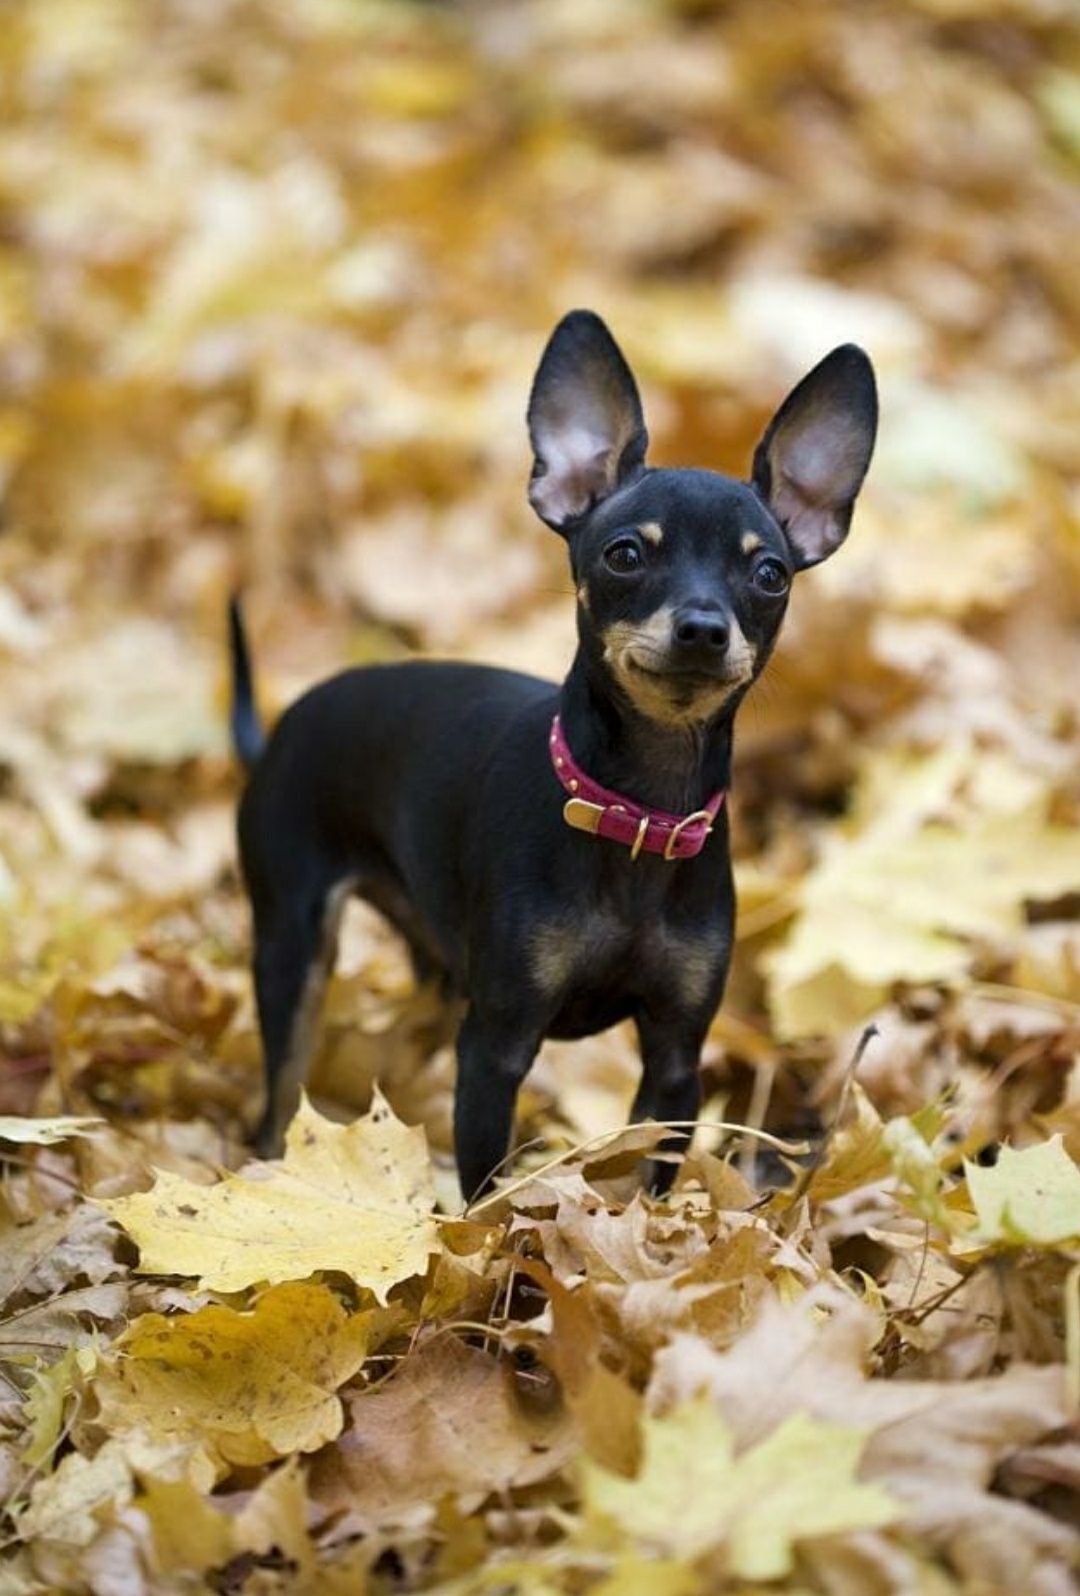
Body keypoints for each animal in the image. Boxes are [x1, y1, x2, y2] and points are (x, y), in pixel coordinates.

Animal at [229, 311, 874, 1200]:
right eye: (625, 554)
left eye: (770, 574)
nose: (704, 627)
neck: (637, 811)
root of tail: (280, 729)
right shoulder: (498, 1046)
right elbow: (487, 1197)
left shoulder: (676, 1058)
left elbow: (650, 1176)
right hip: (293, 943)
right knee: (279, 1090)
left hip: (434, 963)